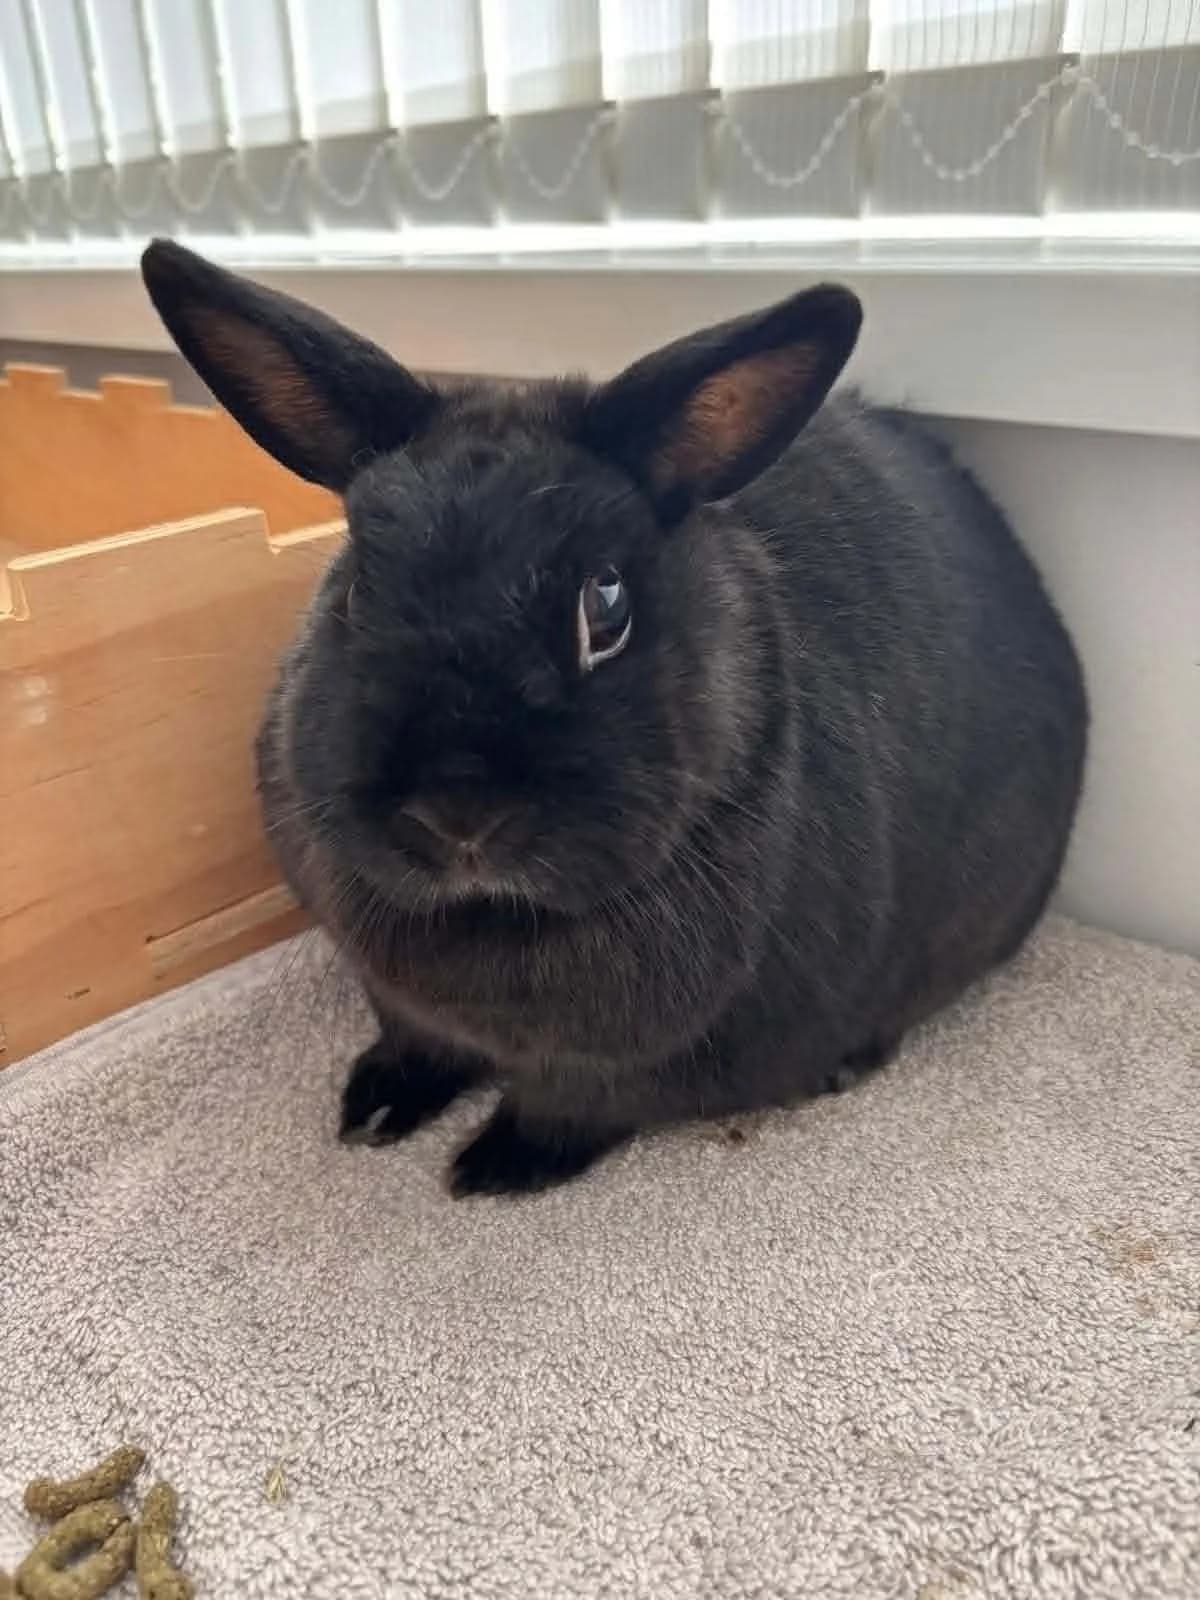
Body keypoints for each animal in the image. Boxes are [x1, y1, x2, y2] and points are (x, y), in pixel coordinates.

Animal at [141, 239, 1088, 1197]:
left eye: (607, 604)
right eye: (355, 591)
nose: (458, 816)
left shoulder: (637, 1068)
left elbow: (574, 1108)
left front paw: (491, 1168)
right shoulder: (399, 1001)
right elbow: (416, 1046)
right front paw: (372, 1111)